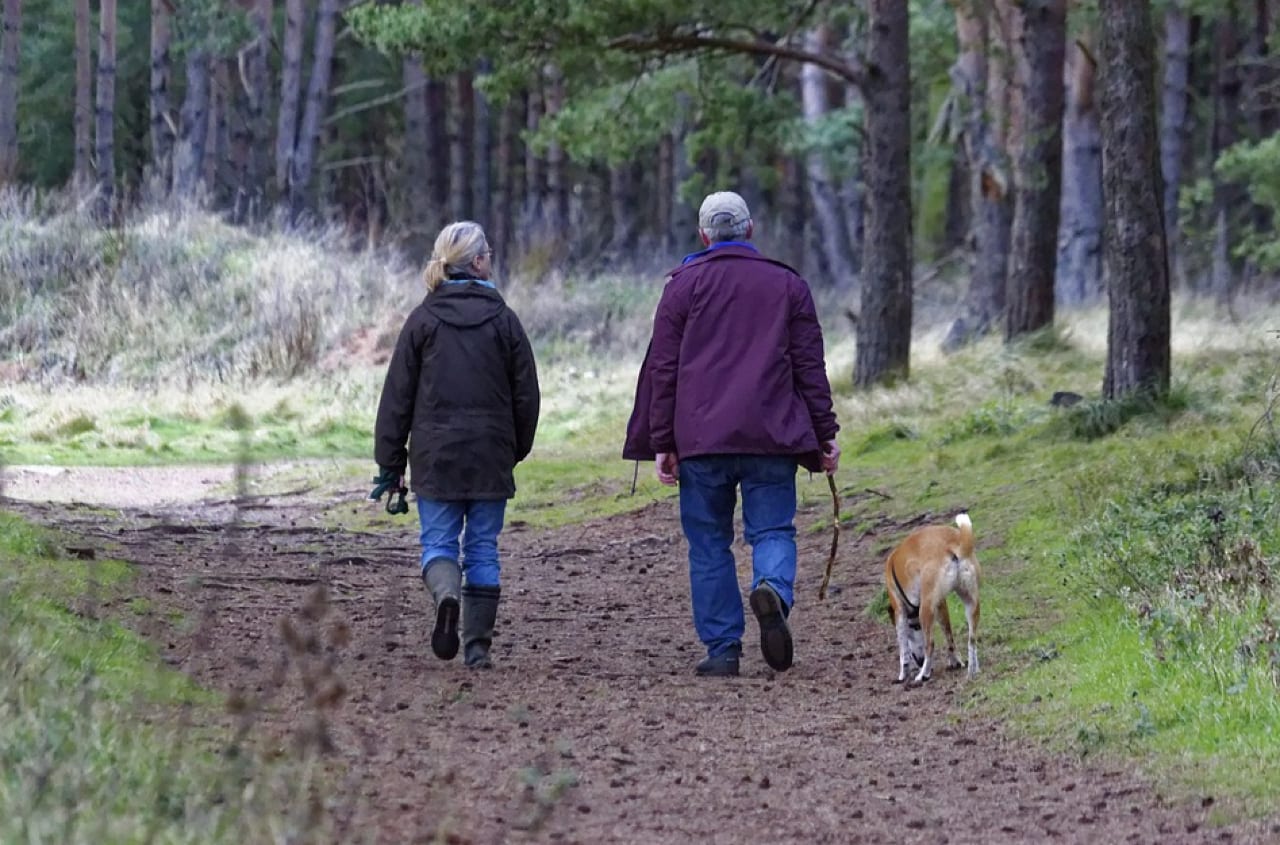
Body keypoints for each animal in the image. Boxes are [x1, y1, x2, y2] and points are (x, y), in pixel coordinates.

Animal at [880, 512, 977, 681]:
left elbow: (903, 650)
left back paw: (922, 675)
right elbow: (949, 636)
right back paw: (973, 670)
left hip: (925, 610)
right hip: (971, 603)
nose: (919, 661)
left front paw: (903, 674)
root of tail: (951, 544)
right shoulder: (940, 604)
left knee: (930, 645)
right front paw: (955, 661)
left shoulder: (899, 611)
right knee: (972, 639)